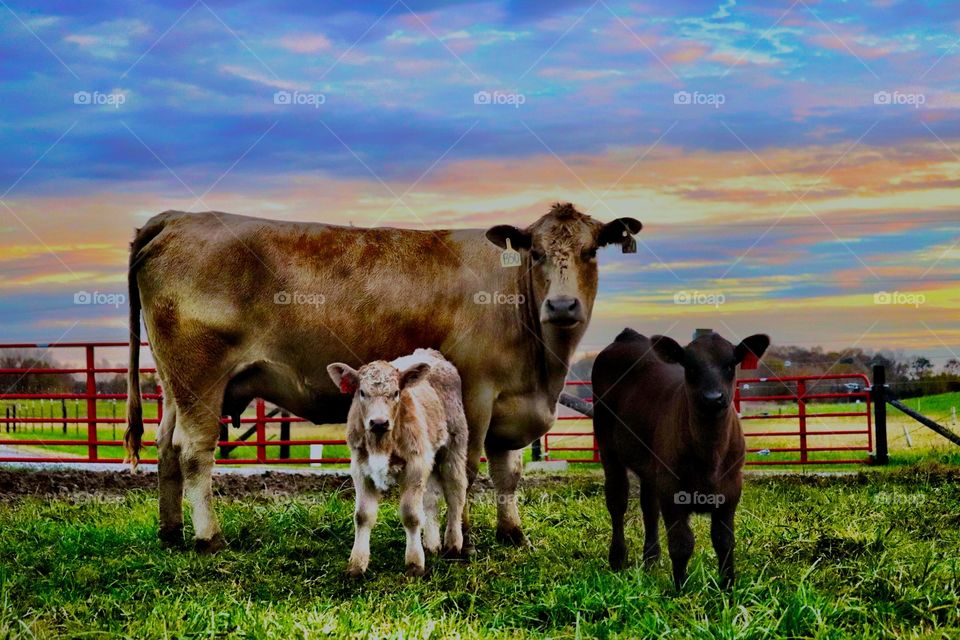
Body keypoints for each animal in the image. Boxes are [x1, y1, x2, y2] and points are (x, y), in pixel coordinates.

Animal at [124, 204, 640, 552]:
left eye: (591, 251)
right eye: (534, 254)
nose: (562, 306)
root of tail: (179, 217)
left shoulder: (512, 401)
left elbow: (509, 472)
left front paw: (512, 533)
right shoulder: (477, 392)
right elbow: (466, 469)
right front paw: (460, 536)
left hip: (174, 382)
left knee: (166, 447)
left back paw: (171, 532)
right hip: (200, 378)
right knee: (194, 452)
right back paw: (208, 537)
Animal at [326, 348, 468, 576]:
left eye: (395, 393)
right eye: (362, 393)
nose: (379, 422)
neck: (381, 444)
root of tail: (430, 353)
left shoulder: (415, 466)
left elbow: (411, 515)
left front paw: (415, 564)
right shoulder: (360, 469)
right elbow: (362, 515)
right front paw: (357, 565)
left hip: (454, 446)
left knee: (456, 493)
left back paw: (453, 545)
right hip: (430, 458)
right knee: (431, 498)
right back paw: (432, 544)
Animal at [588, 330, 768, 592]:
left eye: (729, 365)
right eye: (690, 367)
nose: (713, 398)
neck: (710, 455)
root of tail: (629, 336)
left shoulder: (732, 488)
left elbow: (724, 540)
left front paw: (727, 588)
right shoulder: (672, 489)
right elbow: (682, 542)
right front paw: (681, 589)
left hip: (651, 464)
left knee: (649, 507)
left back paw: (651, 560)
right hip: (607, 444)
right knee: (617, 500)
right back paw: (618, 559)